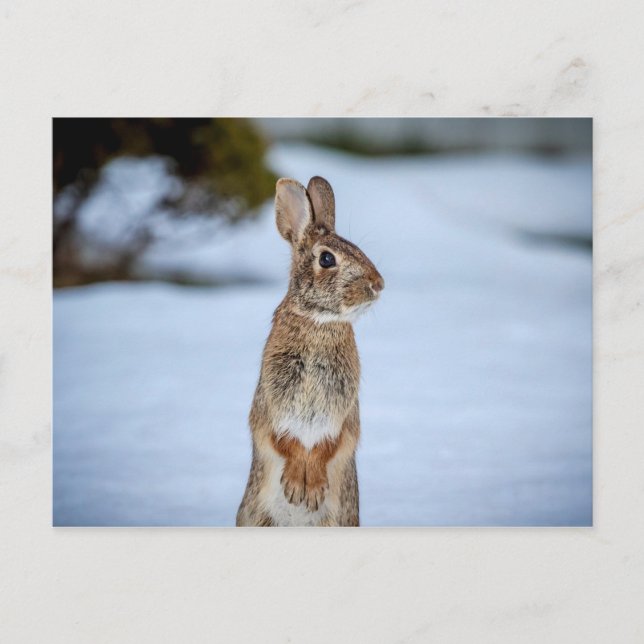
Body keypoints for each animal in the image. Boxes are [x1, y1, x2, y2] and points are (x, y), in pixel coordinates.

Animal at [236, 176, 384, 527]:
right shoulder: (271, 404)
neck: (318, 320)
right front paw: (296, 488)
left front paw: (311, 489)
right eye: (327, 259)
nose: (378, 284)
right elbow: (284, 442)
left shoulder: (343, 414)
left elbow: (329, 446)